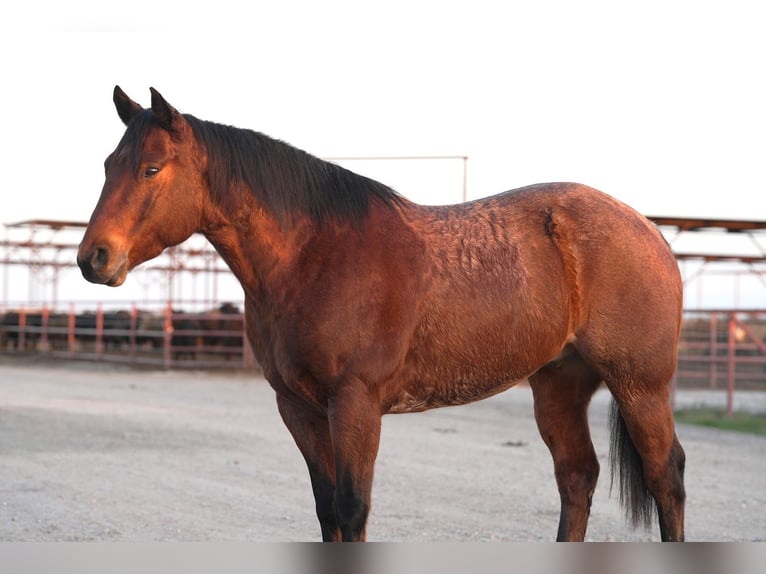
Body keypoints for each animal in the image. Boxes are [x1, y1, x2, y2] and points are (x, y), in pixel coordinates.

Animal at [79, 86, 688, 544]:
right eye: (109, 164)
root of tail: (647, 228)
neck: (313, 255)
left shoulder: (356, 404)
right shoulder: (298, 408)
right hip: (559, 383)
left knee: (666, 479)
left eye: (151, 168)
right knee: (577, 477)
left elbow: (352, 508)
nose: (94, 258)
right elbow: (326, 509)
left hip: (640, 387)